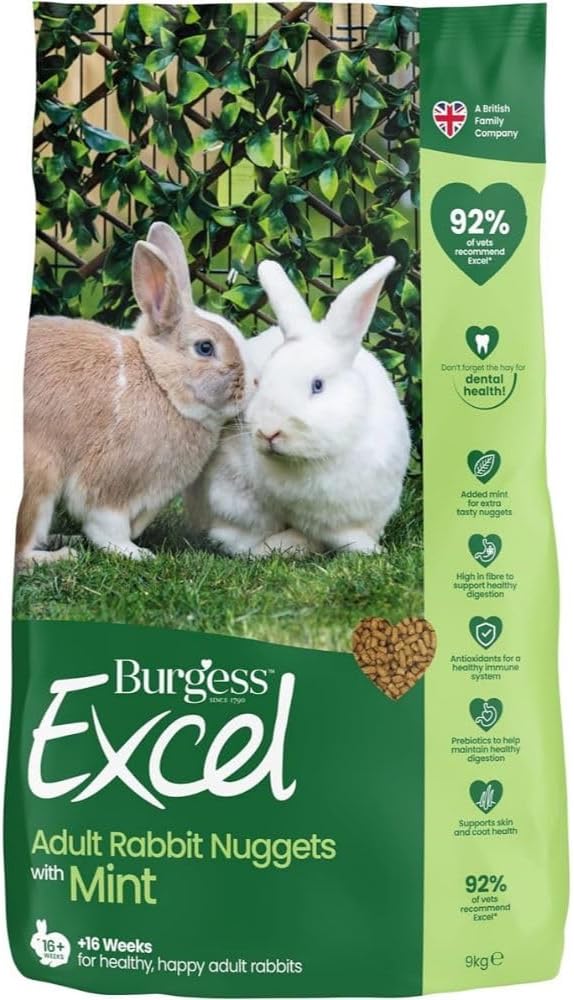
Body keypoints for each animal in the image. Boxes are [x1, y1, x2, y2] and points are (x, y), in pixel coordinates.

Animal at [16, 222, 247, 568]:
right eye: (205, 348)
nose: (251, 384)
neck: (159, 382)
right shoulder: (111, 481)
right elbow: (106, 526)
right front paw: (135, 553)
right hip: (38, 475)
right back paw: (59, 555)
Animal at [186, 257, 411, 556]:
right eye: (260, 381)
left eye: (317, 385)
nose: (269, 432)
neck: (313, 461)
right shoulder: (232, 493)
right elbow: (241, 536)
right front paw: (274, 547)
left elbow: (348, 536)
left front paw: (370, 550)